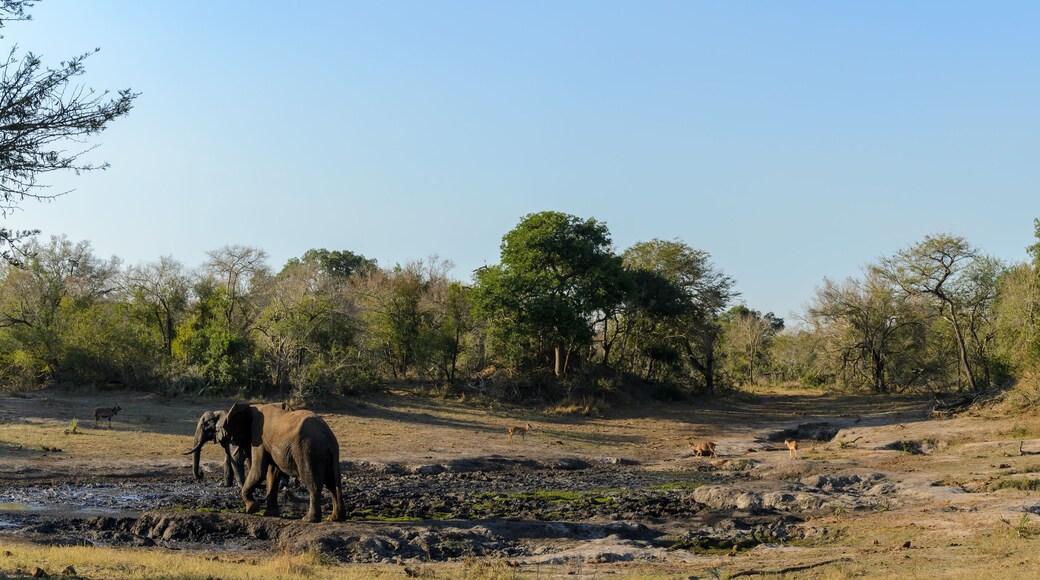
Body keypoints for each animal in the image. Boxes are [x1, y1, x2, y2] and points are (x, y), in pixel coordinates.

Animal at [217, 402, 345, 523]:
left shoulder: (259, 437)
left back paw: (309, 519)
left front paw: (251, 509)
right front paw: (270, 514)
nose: (249, 509)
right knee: (333, 482)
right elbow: (273, 473)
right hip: (326, 454)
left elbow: (259, 471)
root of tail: (328, 437)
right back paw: (334, 518)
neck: (253, 406)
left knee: (312, 482)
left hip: (308, 451)